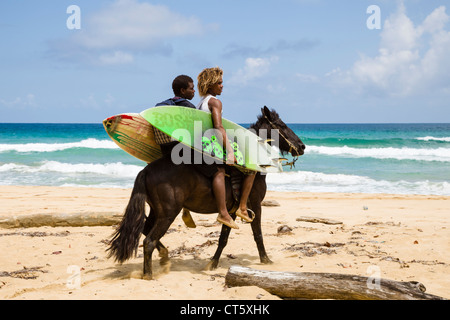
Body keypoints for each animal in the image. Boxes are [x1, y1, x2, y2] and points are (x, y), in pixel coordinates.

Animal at [107, 106, 304, 278]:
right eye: (281, 125)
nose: (301, 146)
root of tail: (146, 170)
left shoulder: (230, 211)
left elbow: (223, 238)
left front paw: (213, 263)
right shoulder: (255, 205)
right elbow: (258, 234)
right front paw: (266, 260)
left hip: (157, 211)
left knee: (144, 229)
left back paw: (164, 256)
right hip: (168, 213)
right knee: (148, 241)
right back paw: (148, 274)